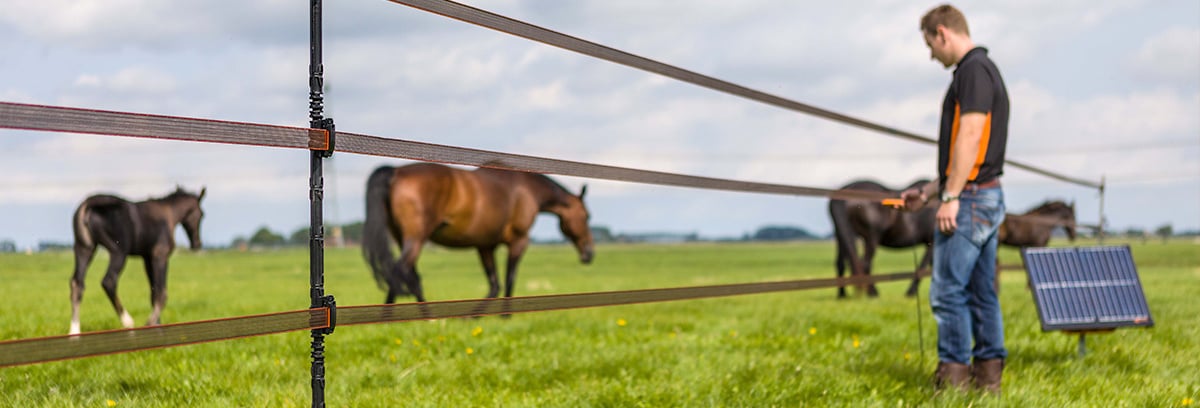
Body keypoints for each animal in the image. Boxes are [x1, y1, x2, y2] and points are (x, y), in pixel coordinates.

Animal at [70, 188, 207, 333]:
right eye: (201, 214)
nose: (197, 244)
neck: (169, 215)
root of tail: (87, 205)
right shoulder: (160, 255)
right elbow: (162, 293)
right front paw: (150, 323)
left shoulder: (147, 258)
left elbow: (153, 292)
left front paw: (157, 327)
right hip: (118, 252)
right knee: (109, 281)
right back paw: (128, 322)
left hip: (84, 248)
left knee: (77, 283)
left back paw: (74, 331)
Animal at [360, 162, 595, 302]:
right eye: (586, 216)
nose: (590, 253)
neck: (526, 189)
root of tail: (396, 171)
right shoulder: (519, 241)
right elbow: (509, 280)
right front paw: (505, 317)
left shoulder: (485, 245)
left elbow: (494, 285)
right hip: (416, 239)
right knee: (399, 272)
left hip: (404, 239)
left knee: (410, 276)